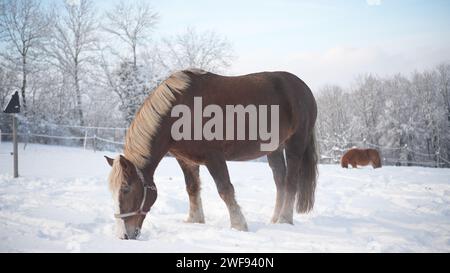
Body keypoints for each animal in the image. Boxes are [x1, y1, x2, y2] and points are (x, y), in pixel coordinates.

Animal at [104, 68, 318, 238]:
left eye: (126, 189)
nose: (124, 235)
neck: (181, 112)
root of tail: (304, 88)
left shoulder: (214, 157)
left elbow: (225, 189)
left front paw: (239, 225)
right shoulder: (185, 160)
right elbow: (192, 188)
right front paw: (194, 220)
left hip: (295, 146)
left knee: (290, 182)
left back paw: (284, 219)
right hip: (274, 149)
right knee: (280, 181)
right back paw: (274, 219)